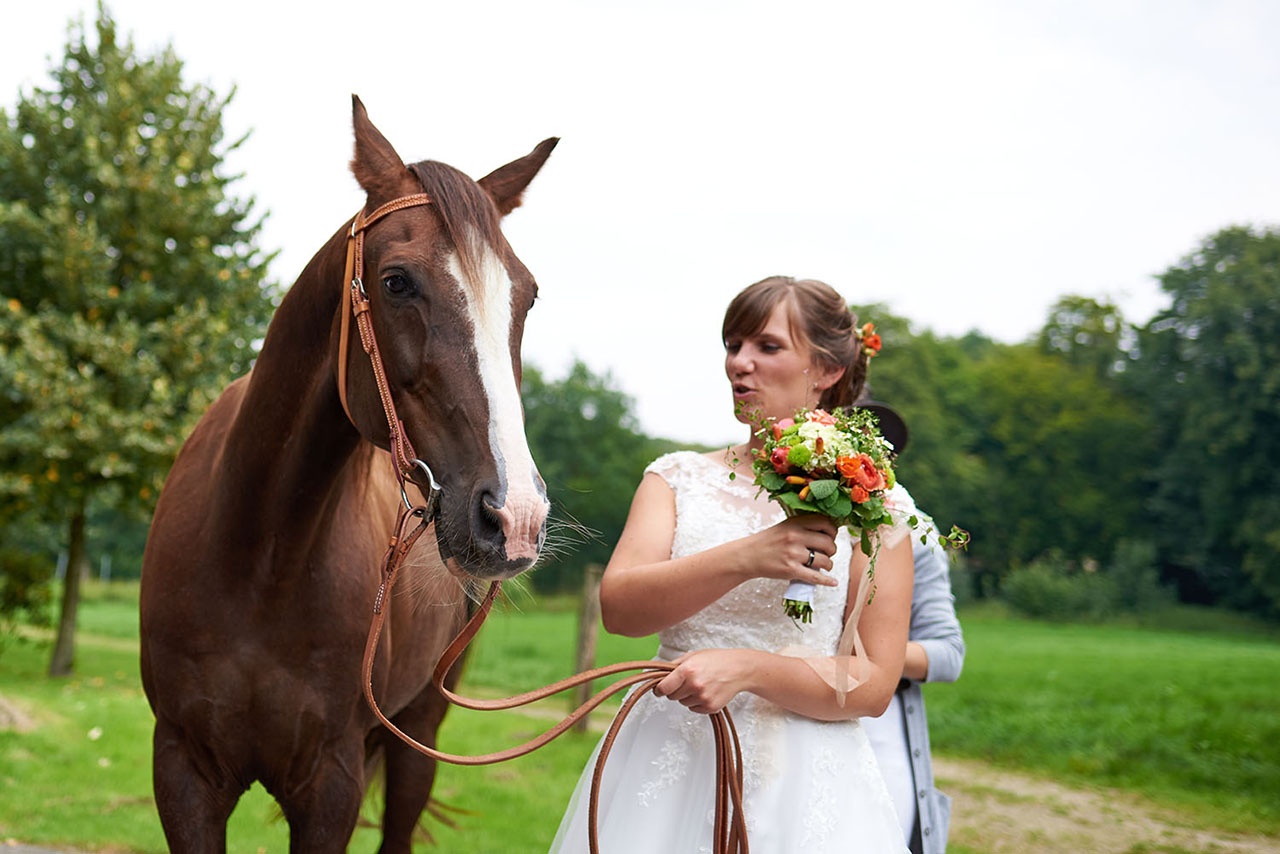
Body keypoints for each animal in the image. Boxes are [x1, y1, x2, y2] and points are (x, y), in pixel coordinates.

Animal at [140, 96, 555, 850]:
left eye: (527, 297)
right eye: (397, 282)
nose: (514, 518)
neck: (261, 554)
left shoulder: (331, 784)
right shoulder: (182, 772)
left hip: (419, 734)